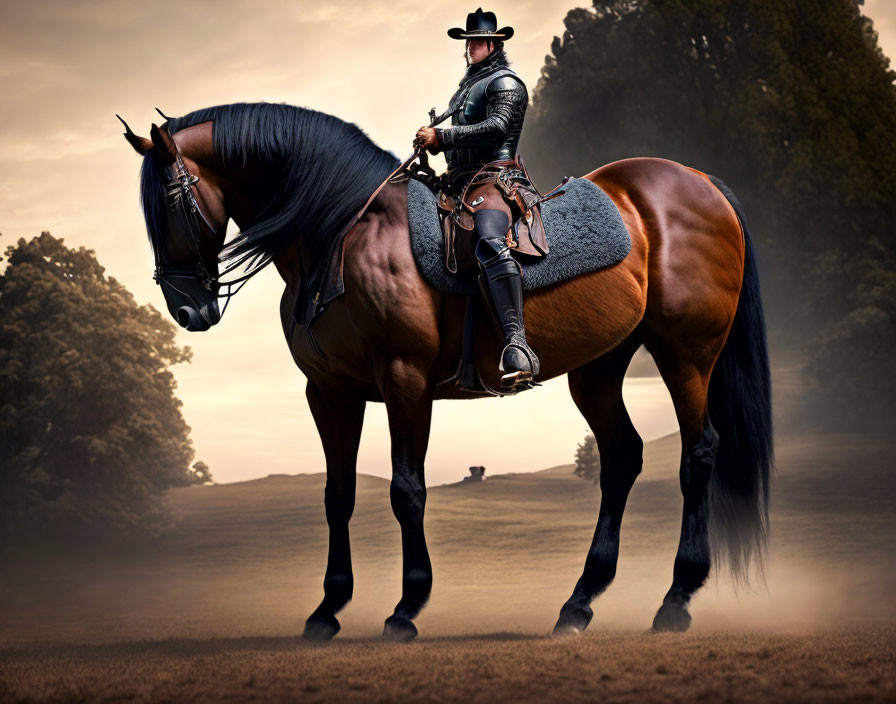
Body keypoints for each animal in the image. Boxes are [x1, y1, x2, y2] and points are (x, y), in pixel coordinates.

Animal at [122, 102, 772, 640]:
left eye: (171, 201)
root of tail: (699, 181)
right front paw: (327, 610)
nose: (188, 310)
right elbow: (337, 495)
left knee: (698, 453)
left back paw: (676, 600)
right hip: (600, 366)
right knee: (622, 458)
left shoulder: (405, 381)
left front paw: (406, 608)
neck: (341, 236)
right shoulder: (329, 393)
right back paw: (578, 605)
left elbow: (407, 490)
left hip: (686, 354)